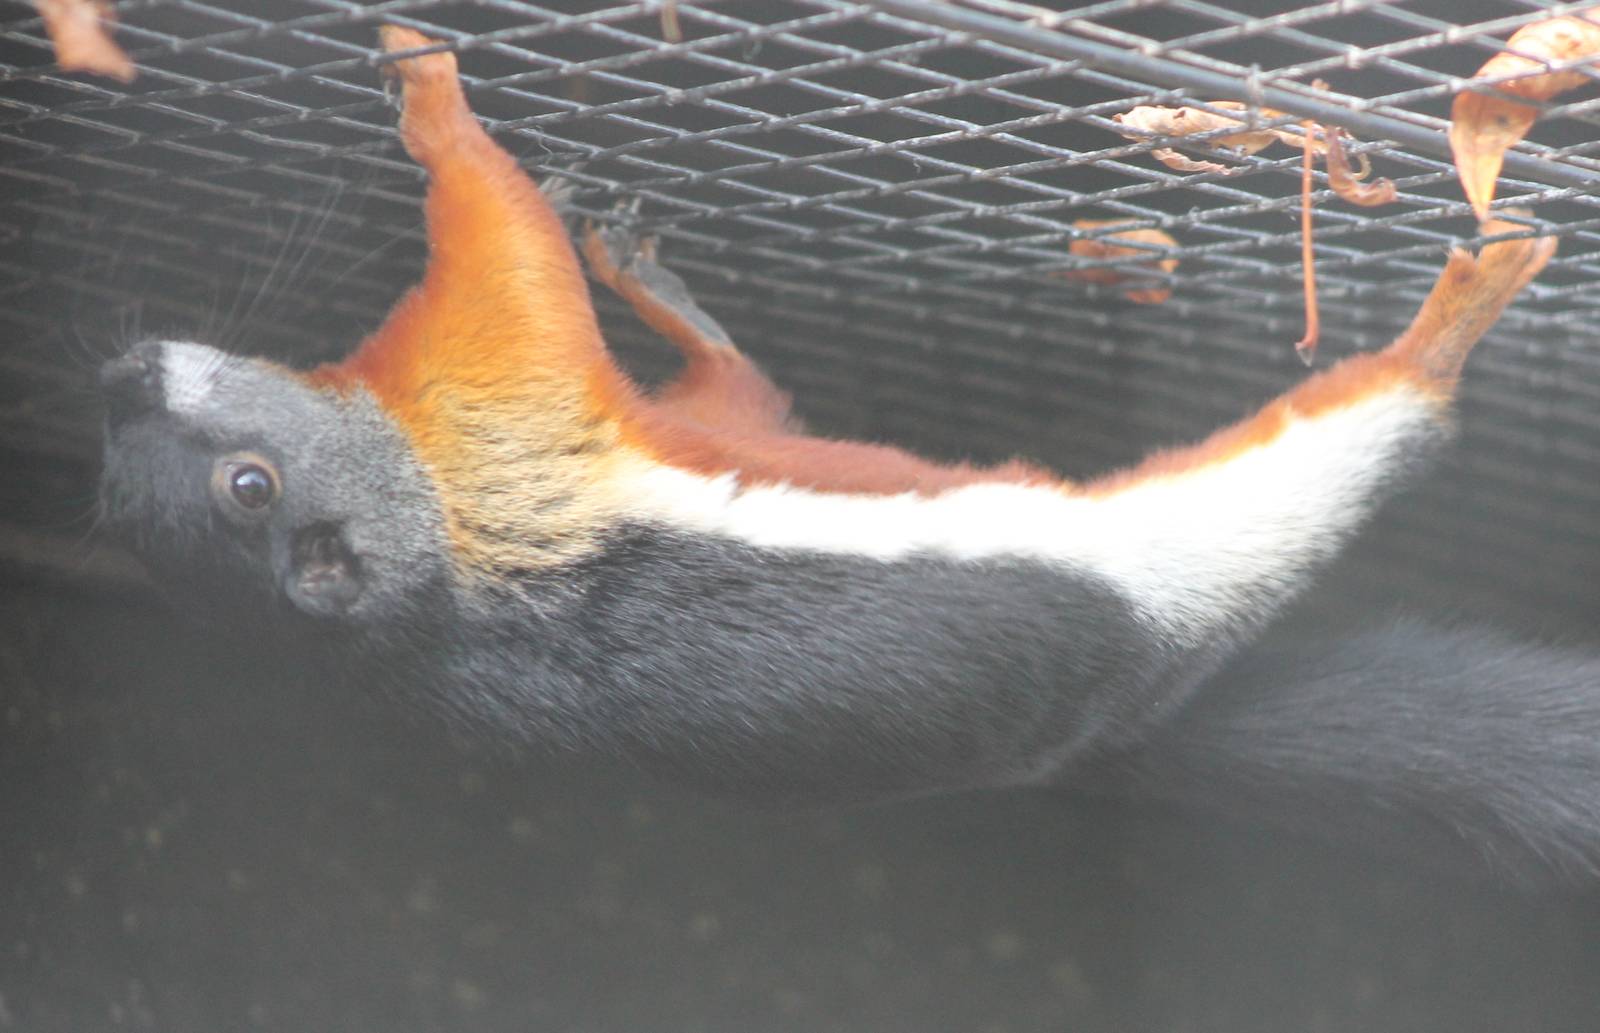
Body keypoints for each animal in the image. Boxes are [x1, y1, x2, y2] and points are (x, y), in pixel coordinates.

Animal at [97, 27, 1600, 882]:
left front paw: (627, 258)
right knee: (1348, 446)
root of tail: (1125, 729)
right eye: (248, 491)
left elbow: (724, 385)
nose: (114, 376)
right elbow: (504, 242)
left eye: (167, 489)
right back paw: (1451, 321)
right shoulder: (505, 414)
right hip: (1182, 543)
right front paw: (438, 94)